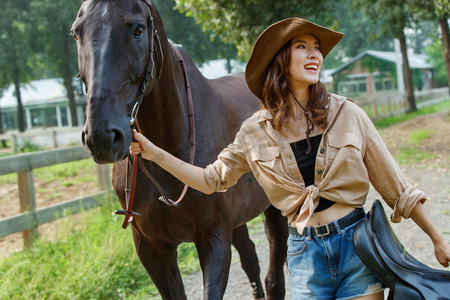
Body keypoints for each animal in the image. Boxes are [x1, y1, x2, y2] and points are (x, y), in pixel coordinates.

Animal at [70, 1, 288, 298]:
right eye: (76, 33)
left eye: (138, 30)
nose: (101, 137)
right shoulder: (152, 248)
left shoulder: (213, 239)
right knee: (251, 260)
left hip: (274, 210)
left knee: (274, 275)